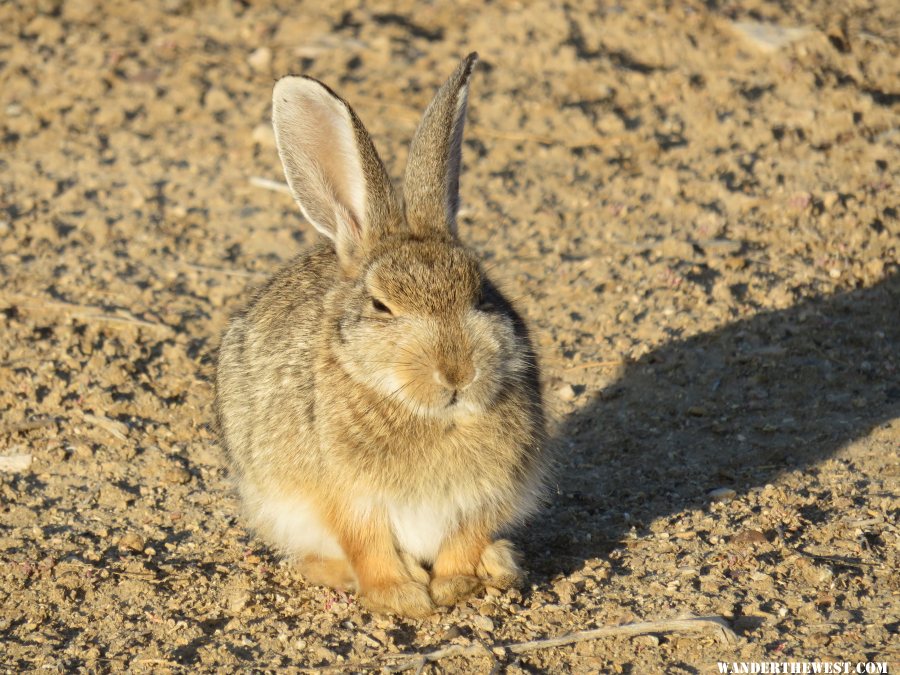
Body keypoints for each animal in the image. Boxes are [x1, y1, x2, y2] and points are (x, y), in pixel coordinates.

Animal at [214, 55, 544, 620]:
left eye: (482, 294)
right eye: (381, 306)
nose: (457, 372)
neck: (431, 416)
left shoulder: (485, 495)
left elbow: (463, 540)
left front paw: (454, 586)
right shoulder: (347, 497)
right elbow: (367, 546)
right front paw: (402, 597)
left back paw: (500, 564)